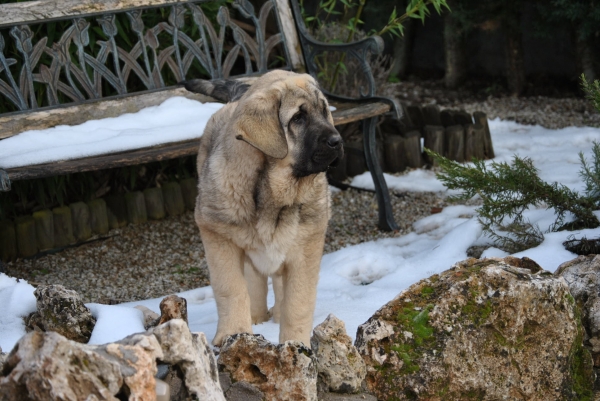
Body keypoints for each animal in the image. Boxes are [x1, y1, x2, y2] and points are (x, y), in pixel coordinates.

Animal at [183, 70, 342, 346]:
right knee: (253, 281)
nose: (337, 140)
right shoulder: (219, 239)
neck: (273, 195)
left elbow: (298, 302)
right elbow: (231, 289)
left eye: (324, 111)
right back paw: (256, 318)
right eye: (298, 118)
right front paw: (234, 333)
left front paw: (295, 344)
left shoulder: (305, 249)